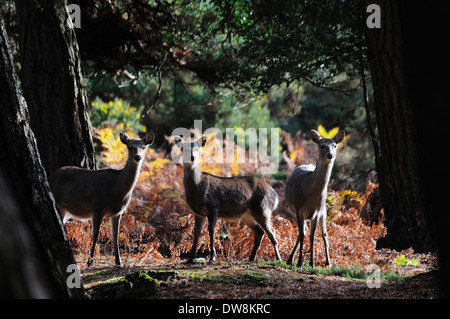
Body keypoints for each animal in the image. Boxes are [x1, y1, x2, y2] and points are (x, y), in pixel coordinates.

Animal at [48, 132, 155, 268]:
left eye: (143, 147)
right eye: (130, 147)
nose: (138, 157)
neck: (116, 190)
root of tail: (50, 177)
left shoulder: (117, 212)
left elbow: (115, 235)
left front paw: (118, 262)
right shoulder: (97, 206)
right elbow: (95, 234)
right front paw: (90, 262)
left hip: (66, 211)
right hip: (58, 204)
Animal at [173, 136, 282, 264]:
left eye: (197, 149)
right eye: (183, 149)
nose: (192, 157)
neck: (197, 188)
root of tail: (275, 195)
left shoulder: (213, 206)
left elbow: (211, 231)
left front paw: (212, 257)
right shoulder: (198, 213)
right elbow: (196, 233)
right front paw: (190, 259)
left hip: (263, 208)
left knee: (272, 232)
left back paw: (279, 259)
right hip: (248, 215)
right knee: (260, 232)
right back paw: (251, 258)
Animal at [284, 129, 344, 268]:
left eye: (335, 145)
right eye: (322, 146)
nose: (330, 155)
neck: (309, 195)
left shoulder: (317, 212)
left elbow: (312, 236)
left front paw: (311, 263)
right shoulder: (298, 209)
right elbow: (302, 235)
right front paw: (300, 262)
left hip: (324, 211)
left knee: (324, 234)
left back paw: (328, 262)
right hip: (293, 211)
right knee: (303, 232)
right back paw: (290, 260)